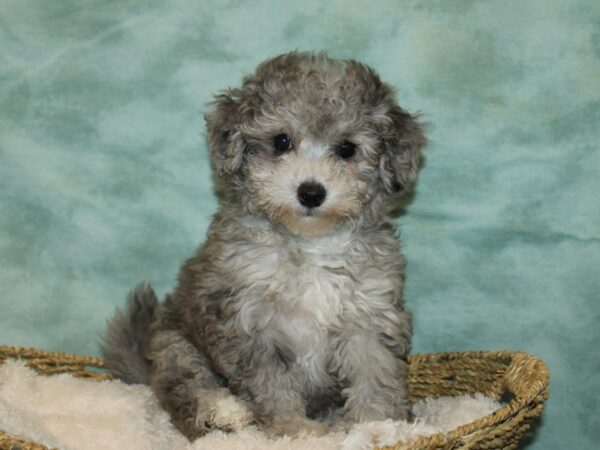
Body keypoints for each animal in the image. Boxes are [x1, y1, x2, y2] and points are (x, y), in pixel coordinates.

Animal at [99, 51, 426, 440]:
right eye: (281, 141)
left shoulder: (369, 316)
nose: (311, 192)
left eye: (347, 149)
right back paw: (220, 413)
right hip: (174, 343)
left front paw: (377, 425)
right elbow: (271, 385)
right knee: (184, 390)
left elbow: (375, 373)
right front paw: (293, 427)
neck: (309, 244)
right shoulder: (250, 323)